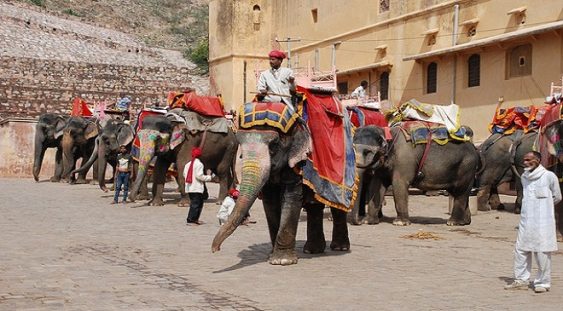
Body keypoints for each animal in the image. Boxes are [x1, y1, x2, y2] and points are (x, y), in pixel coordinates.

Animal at [213, 120, 352, 266]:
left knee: (337, 206)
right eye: (240, 142)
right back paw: (312, 250)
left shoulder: (297, 162)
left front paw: (282, 260)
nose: (216, 249)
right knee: (314, 206)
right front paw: (272, 256)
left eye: (273, 145)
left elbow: (291, 197)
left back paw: (339, 248)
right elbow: (270, 201)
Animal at [352, 126, 480, 227]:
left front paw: (400, 223)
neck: (387, 133)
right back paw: (465, 222)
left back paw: (453, 222)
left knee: (460, 192)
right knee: (460, 193)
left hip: (466, 167)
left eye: (367, 152)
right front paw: (368, 221)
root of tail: (474, 147)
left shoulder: (404, 160)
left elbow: (398, 184)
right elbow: (376, 185)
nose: (359, 222)